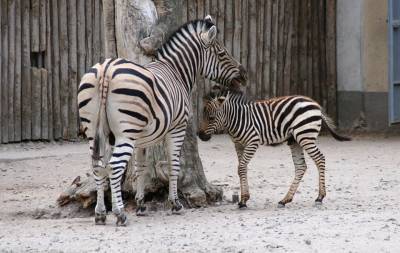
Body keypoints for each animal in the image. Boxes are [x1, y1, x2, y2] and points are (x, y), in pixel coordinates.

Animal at [77, 16, 247, 225]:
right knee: (114, 167)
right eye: (222, 53)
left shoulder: (141, 139)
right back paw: (120, 214)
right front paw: (175, 204)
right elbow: (174, 165)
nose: (244, 75)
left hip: (95, 132)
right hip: (125, 133)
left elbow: (140, 168)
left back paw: (100, 213)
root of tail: (106, 69)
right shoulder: (177, 128)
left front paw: (141, 204)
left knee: (98, 166)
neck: (176, 72)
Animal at [198, 91, 352, 210]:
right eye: (202, 116)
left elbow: (241, 168)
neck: (237, 121)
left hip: (305, 135)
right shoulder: (238, 145)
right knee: (301, 166)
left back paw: (320, 197)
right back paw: (285, 200)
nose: (200, 135)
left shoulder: (252, 142)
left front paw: (243, 200)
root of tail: (316, 105)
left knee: (320, 159)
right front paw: (243, 200)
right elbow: (242, 168)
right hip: (294, 140)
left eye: (211, 118)